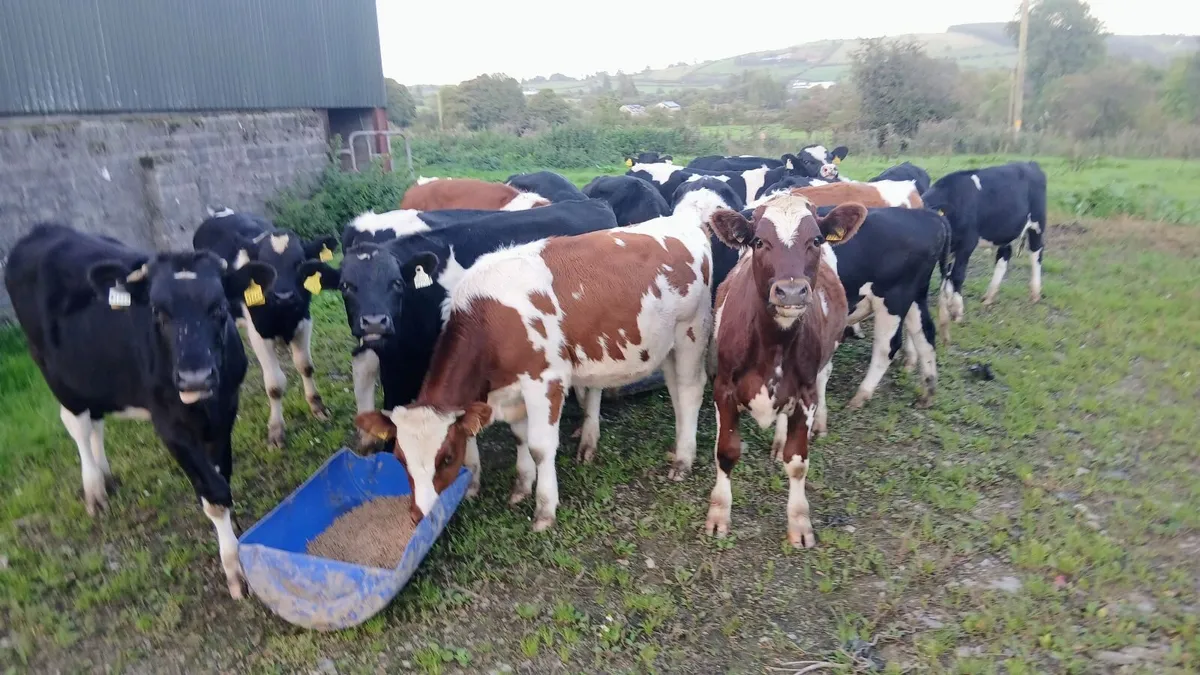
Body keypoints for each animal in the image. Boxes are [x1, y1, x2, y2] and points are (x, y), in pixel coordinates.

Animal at [5, 223, 277, 598]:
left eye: (219, 307)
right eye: (158, 312)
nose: (194, 377)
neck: (203, 404)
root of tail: (42, 230)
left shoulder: (225, 411)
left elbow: (222, 479)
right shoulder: (169, 425)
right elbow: (215, 492)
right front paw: (234, 568)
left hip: (97, 375)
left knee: (96, 422)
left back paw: (105, 475)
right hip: (54, 372)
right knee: (77, 425)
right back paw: (94, 489)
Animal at [192, 211, 339, 448]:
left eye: (299, 262)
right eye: (265, 268)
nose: (284, 296)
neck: (283, 316)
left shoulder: (304, 321)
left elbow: (306, 366)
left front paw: (317, 406)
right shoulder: (259, 334)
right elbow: (275, 386)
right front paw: (276, 431)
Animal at [352, 209, 715, 531]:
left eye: (447, 457)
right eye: (401, 459)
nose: (421, 515)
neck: (489, 318)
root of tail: (684, 220)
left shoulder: (545, 380)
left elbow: (541, 446)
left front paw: (544, 508)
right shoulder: (510, 389)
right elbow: (520, 437)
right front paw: (522, 486)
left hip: (691, 332)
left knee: (690, 389)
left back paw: (684, 459)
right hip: (664, 344)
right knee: (675, 391)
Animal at [705, 195, 867, 547]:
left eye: (816, 240)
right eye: (758, 241)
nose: (791, 292)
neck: (773, 346)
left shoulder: (805, 393)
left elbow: (797, 462)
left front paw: (799, 521)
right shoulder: (723, 386)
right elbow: (726, 452)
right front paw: (719, 513)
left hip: (826, 358)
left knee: (822, 381)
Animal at [920, 162, 1048, 335]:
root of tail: (1029, 163)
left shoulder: (967, 243)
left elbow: (957, 275)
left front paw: (957, 311)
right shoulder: (947, 250)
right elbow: (946, 276)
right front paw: (948, 305)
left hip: (1037, 224)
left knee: (1036, 253)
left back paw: (1035, 293)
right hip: (1004, 230)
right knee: (1004, 256)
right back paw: (989, 297)